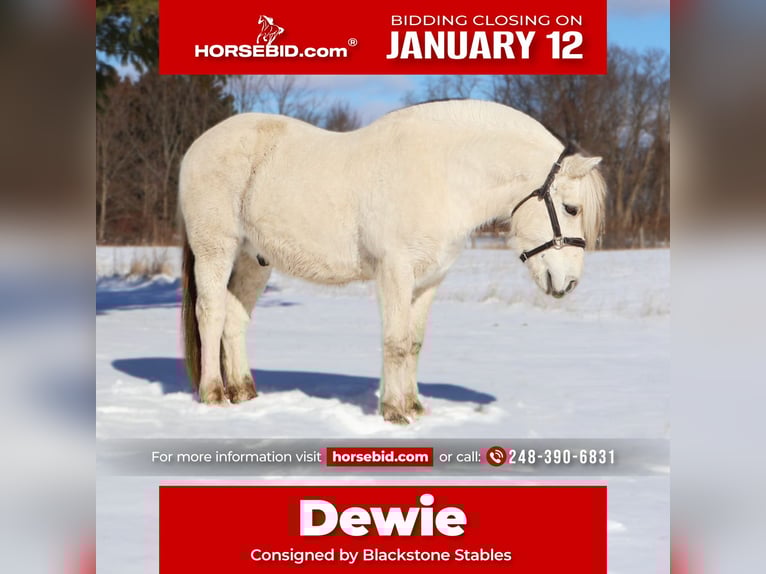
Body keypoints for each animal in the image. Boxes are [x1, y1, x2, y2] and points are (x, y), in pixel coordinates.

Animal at [178, 99, 606, 424]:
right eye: (571, 208)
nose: (568, 282)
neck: (443, 173)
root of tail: (198, 145)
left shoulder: (429, 280)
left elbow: (413, 343)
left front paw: (415, 407)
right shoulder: (395, 272)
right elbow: (396, 342)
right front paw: (394, 412)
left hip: (255, 259)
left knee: (235, 319)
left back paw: (244, 391)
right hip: (216, 248)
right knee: (211, 313)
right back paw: (214, 393)